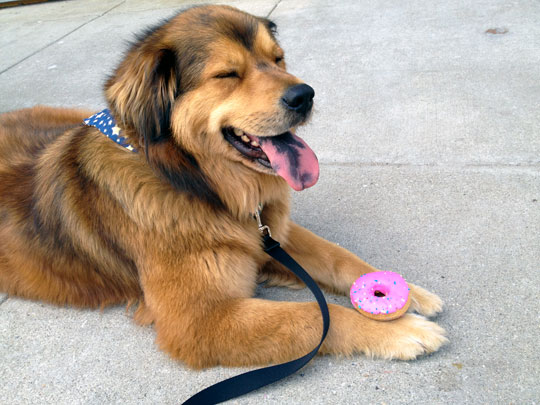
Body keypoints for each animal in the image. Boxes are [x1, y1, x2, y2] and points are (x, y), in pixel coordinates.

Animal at [0, 3, 446, 370]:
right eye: (228, 75)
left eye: (278, 59)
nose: (305, 95)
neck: (199, 183)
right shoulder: (200, 322)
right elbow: (313, 315)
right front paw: (401, 330)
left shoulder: (272, 234)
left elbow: (338, 256)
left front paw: (410, 294)